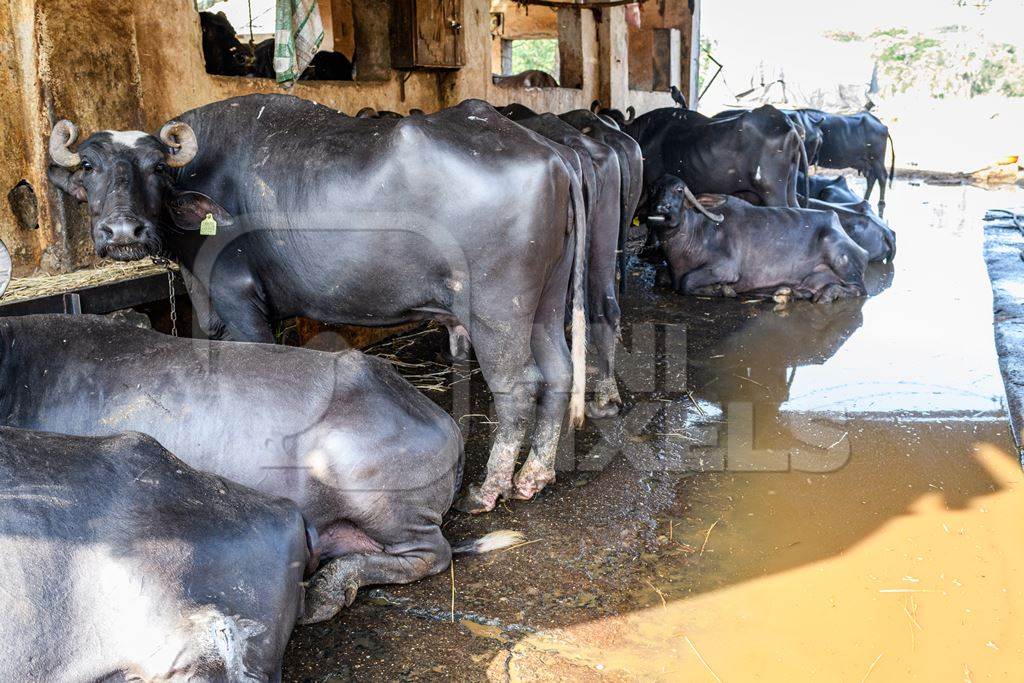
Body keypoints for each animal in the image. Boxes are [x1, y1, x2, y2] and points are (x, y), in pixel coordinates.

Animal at [46, 94, 585, 518]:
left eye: (157, 167)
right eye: (89, 166)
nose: (122, 231)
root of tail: (550, 154)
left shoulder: (239, 297)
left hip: (496, 310)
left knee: (518, 387)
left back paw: (490, 490)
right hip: (545, 301)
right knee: (560, 372)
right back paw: (535, 476)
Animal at [647, 175, 864, 303]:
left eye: (679, 190)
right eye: (654, 190)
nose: (662, 208)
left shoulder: (726, 268)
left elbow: (686, 281)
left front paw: (721, 290)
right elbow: (660, 276)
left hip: (841, 260)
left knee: (859, 289)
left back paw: (827, 294)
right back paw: (786, 293)